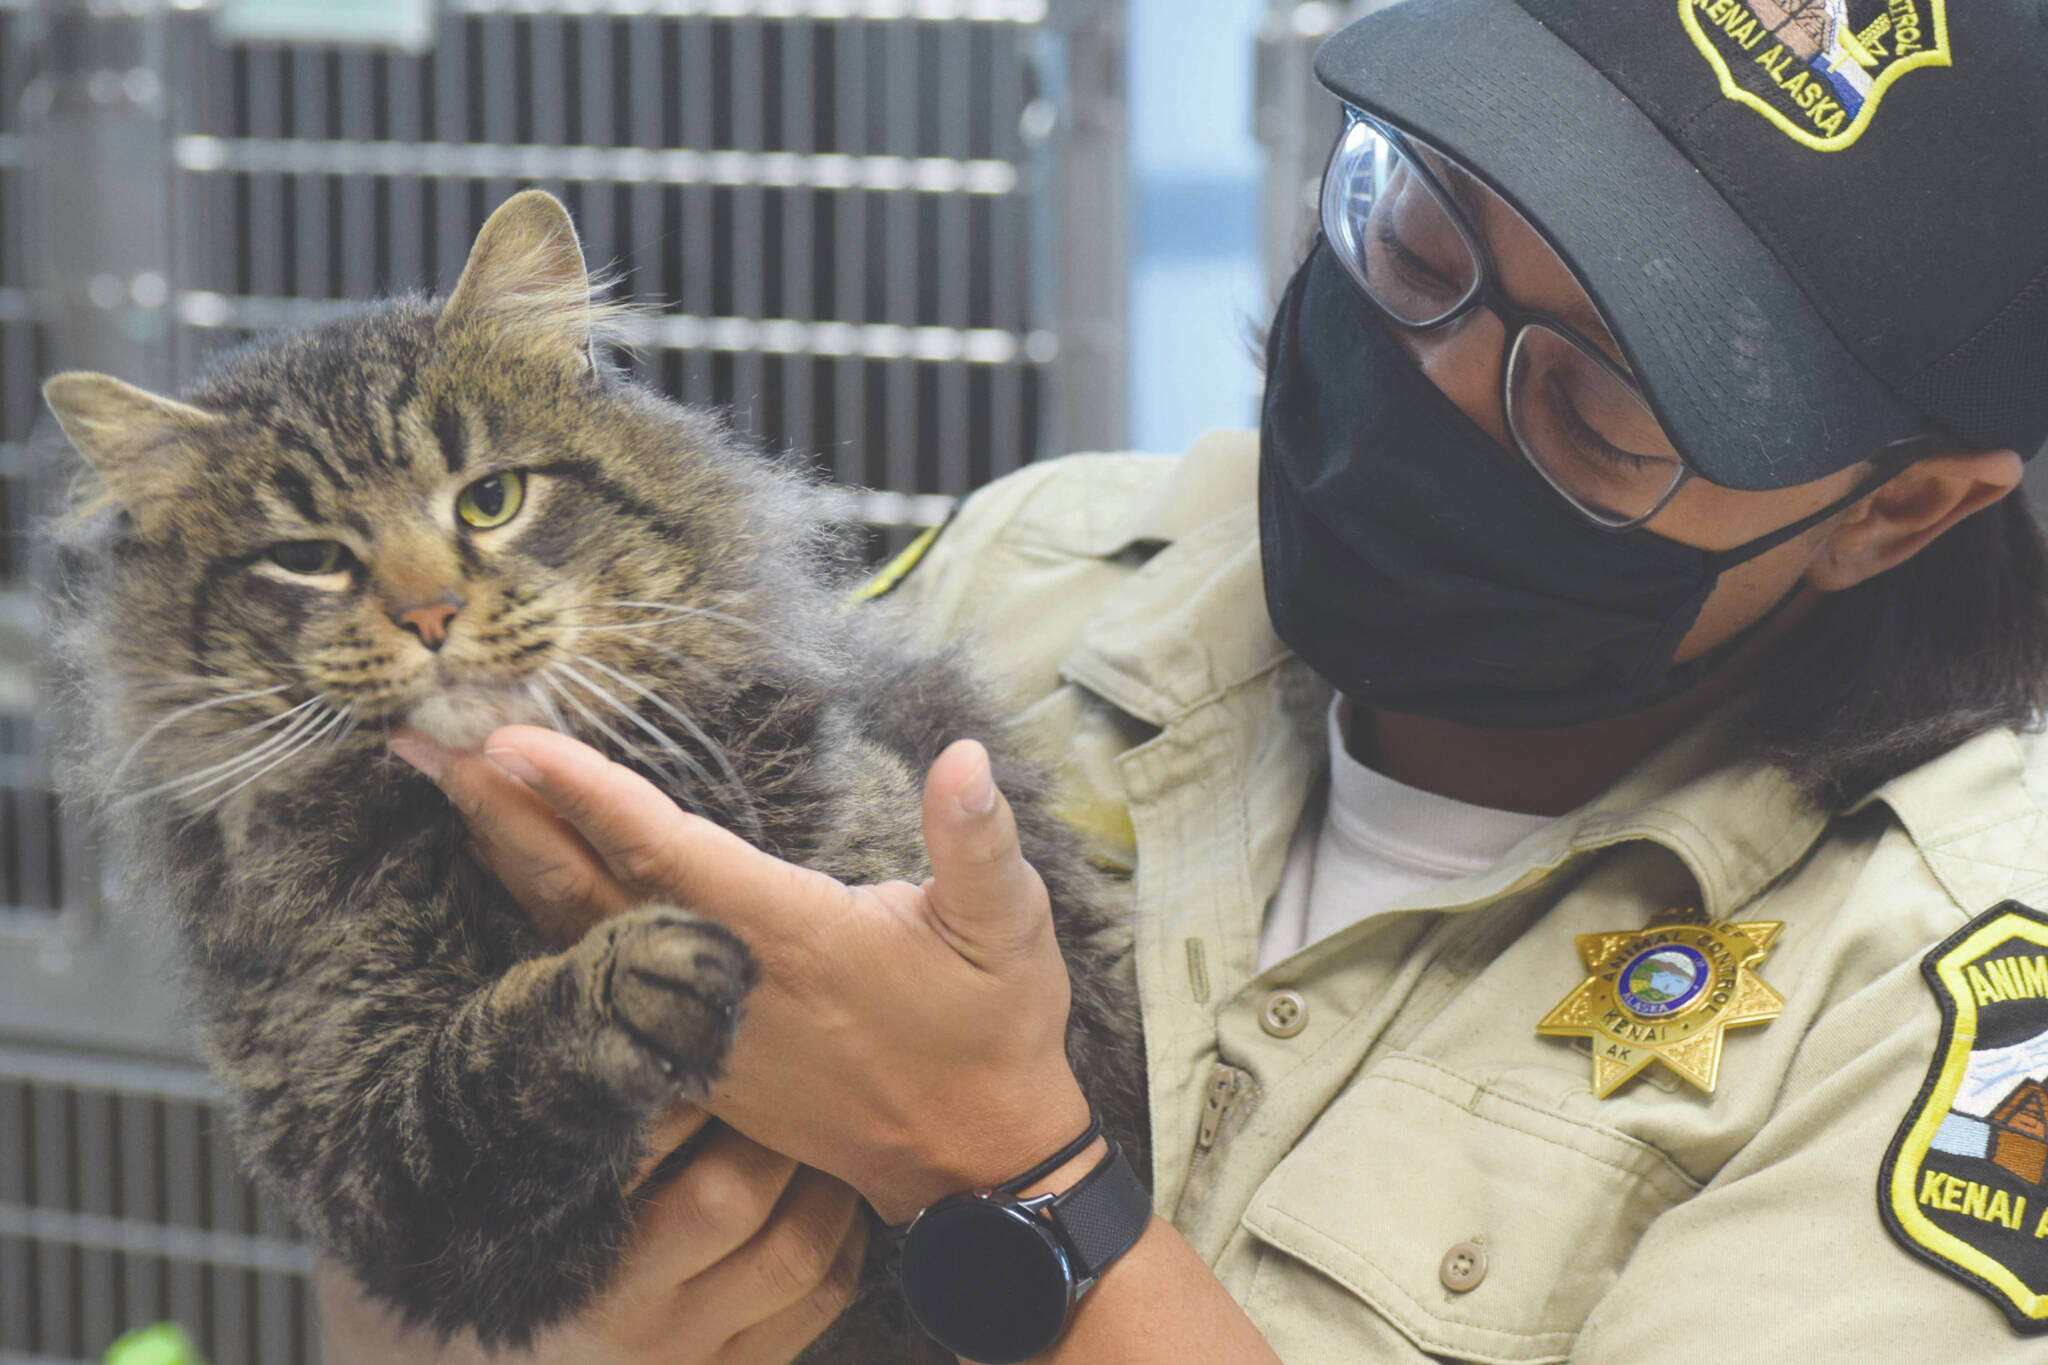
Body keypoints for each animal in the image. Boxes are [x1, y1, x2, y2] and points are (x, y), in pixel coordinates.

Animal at [39, 189, 1146, 1358]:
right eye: (308, 558)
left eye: (489, 500)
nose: (427, 614)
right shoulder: (362, 1149)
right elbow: (482, 1074)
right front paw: (638, 973)